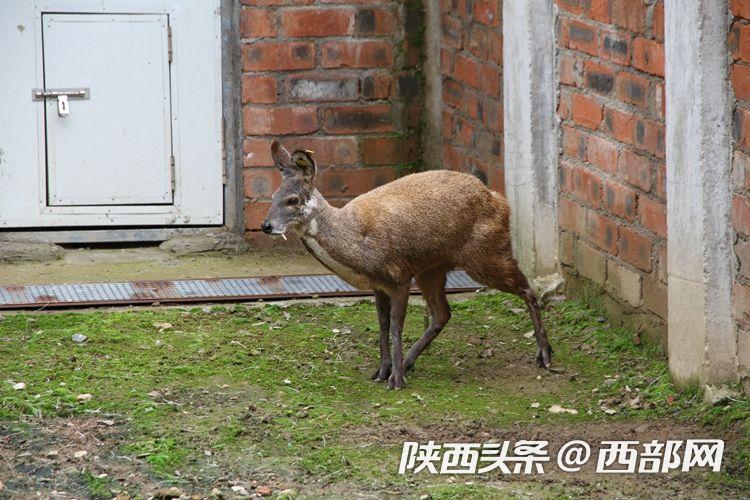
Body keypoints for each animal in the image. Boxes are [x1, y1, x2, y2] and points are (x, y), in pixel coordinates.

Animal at [262, 141, 552, 390]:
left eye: (292, 200)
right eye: (273, 195)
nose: (266, 225)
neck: (358, 241)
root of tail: (498, 199)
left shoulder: (399, 275)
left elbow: (395, 325)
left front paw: (396, 380)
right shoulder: (379, 284)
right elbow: (381, 324)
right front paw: (382, 371)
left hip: (484, 253)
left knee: (526, 287)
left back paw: (545, 355)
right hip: (432, 268)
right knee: (442, 313)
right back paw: (410, 362)